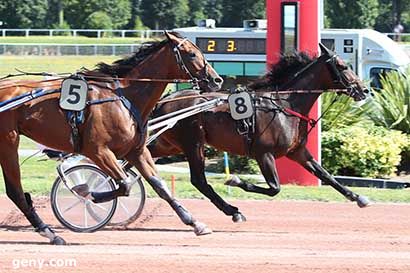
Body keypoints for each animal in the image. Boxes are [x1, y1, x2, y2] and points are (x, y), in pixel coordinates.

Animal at [0, 31, 223, 244]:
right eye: (192, 54)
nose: (216, 80)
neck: (123, 98)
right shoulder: (98, 151)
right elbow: (124, 184)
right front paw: (88, 193)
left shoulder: (137, 151)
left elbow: (160, 186)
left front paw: (195, 223)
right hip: (8, 142)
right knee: (15, 192)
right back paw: (50, 233)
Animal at [149, 44, 370, 221]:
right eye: (342, 66)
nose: (364, 90)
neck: (284, 105)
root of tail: (165, 100)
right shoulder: (264, 154)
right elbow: (274, 188)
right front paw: (235, 180)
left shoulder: (297, 152)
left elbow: (326, 175)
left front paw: (358, 197)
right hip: (193, 143)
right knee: (199, 180)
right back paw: (233, 211)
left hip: (170, 144)